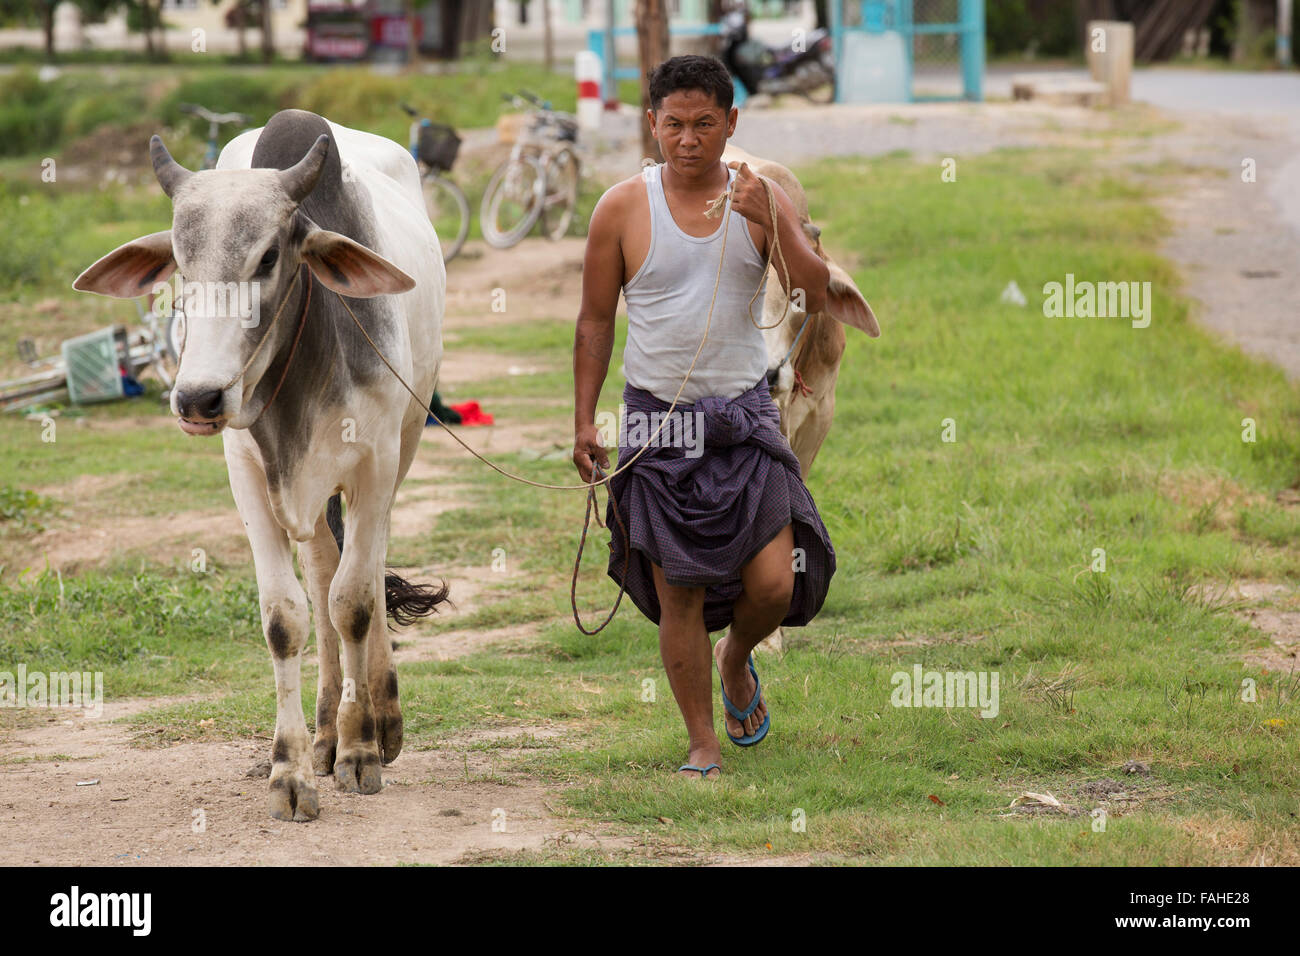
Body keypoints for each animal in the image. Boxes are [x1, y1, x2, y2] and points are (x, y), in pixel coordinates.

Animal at [77, 106, 452, 822]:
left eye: (269, 257)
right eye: (180, 262)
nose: (198, 397)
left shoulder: (375, 463)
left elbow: (356, 603)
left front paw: (361, 751)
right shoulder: (248, 475)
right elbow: (287, 617)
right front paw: (294, 770)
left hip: (406, 443)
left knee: (363, 572)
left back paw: (379, 719)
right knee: (324, 570)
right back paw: (328, 729)